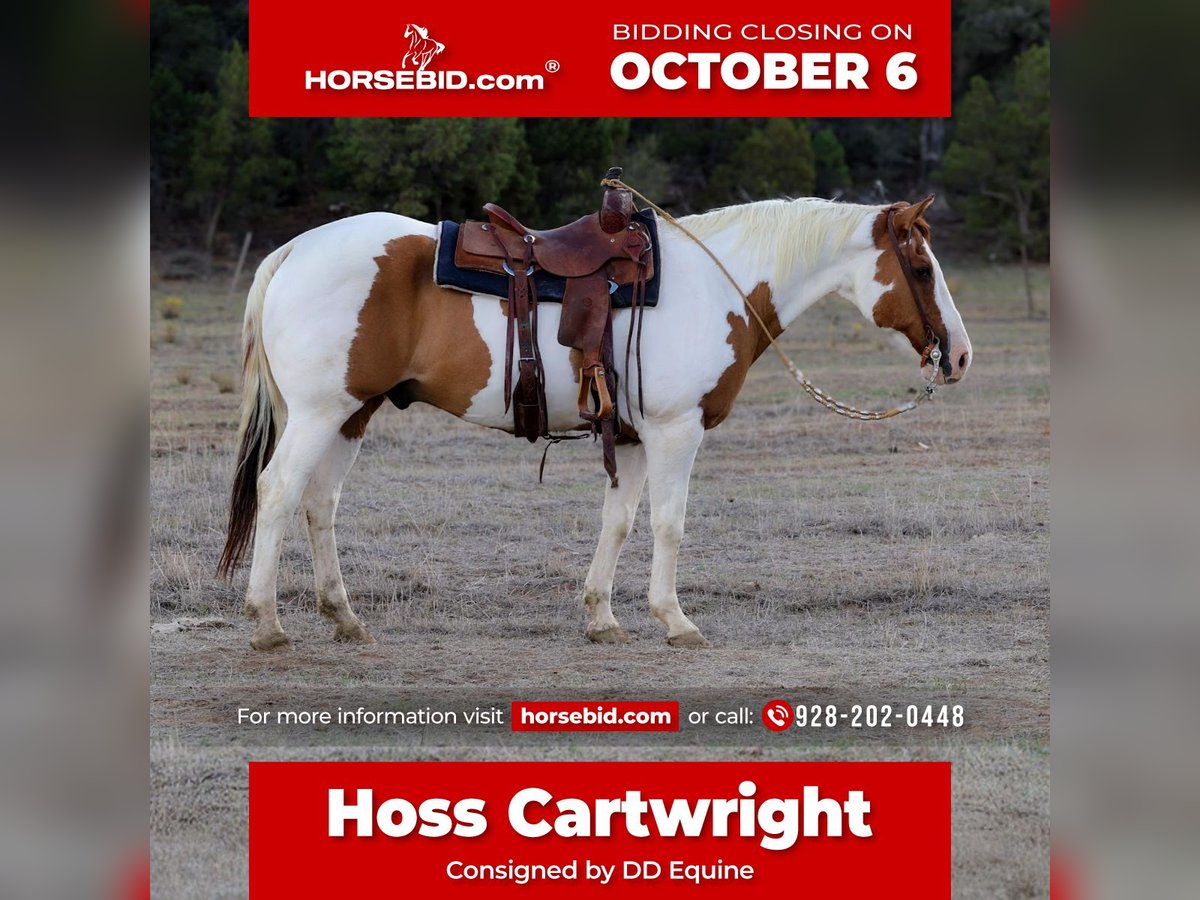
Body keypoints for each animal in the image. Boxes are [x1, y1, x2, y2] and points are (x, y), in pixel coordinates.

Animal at [218, 195, 972, 651]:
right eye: (921, 267)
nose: (959, 355)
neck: (715, 285)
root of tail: (295, 250)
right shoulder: (676, 431)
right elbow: (669, 522)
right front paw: (675, 620)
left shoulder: (633, 438)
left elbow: (620, 521)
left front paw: (603, 616)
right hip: (320, 413)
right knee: (278, 492)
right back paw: (267, 623)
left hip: (353, 413)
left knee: (320, 502)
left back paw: (344, 617)